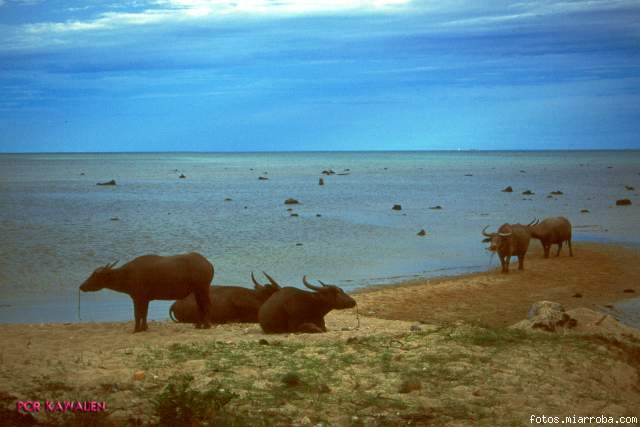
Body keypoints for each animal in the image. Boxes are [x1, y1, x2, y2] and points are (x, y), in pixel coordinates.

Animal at [79, 252, 214, 332]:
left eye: (95, 276)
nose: (81, 286)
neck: (127, 274)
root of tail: (208, 263)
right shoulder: (146, 299)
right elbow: (144, 314)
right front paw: (144, 328)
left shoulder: (137, 297)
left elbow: (137, 314)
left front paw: (136, 329)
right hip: (198, 291)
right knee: (201, 306)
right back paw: (199, 325)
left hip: (202, 289)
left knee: (206, 305)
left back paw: (206, 325)